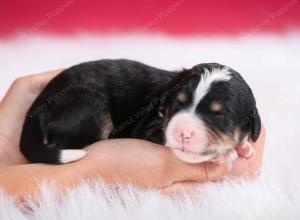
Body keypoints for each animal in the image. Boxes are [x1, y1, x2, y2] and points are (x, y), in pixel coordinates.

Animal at [20, 59, 260, 164]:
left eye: (219, 115)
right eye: (178, 104)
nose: (183, 133)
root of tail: (36, 108)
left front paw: (243, 147)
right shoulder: (148, 127)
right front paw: (228, 154)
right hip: (89, 106)